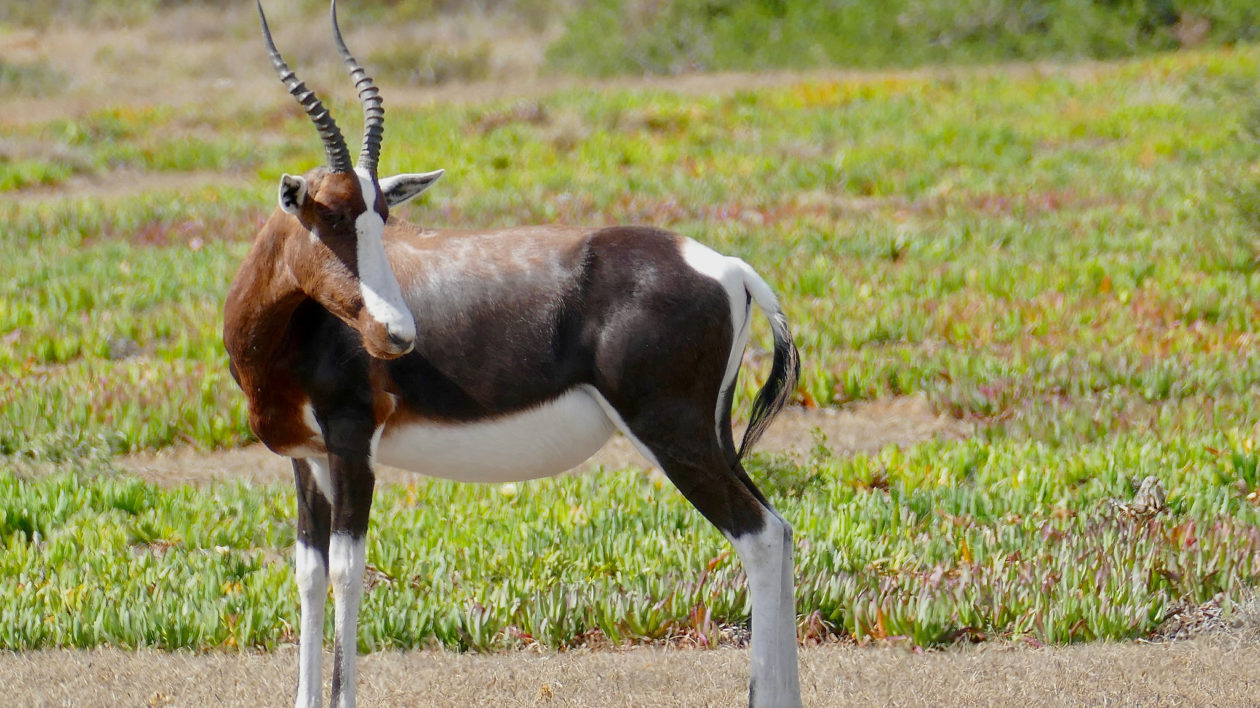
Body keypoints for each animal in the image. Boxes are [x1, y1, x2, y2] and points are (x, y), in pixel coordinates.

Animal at [224, 2, 796, 700]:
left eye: (382, 216)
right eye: (329, 215)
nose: (399, 334)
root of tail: (730, 268)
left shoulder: (353, 442)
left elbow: (346, 572)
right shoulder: (308, 459)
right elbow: (308, 574)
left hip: (673, 434)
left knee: (759, 536)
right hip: (713, 435)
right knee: (780, 530)